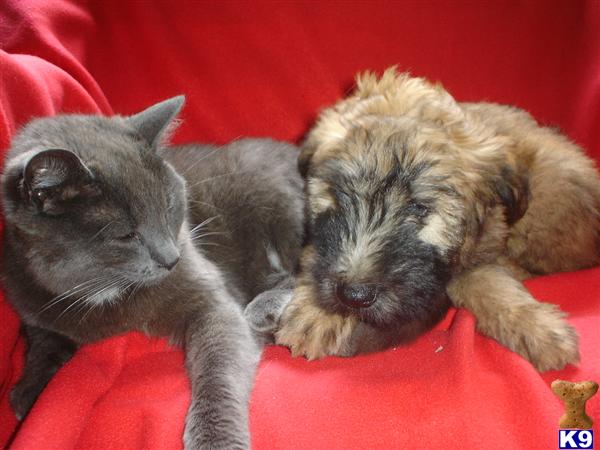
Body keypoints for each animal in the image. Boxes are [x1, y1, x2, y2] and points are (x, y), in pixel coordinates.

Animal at [1, 96, 304, 448]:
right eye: (125, 234)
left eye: (169, 206)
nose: (172, 258)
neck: (105, 292)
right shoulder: (29, 296)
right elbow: (42, 339)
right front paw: (32, 390)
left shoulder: (208, 295)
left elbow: (219, 364)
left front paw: (217, 439)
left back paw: (266, 307)